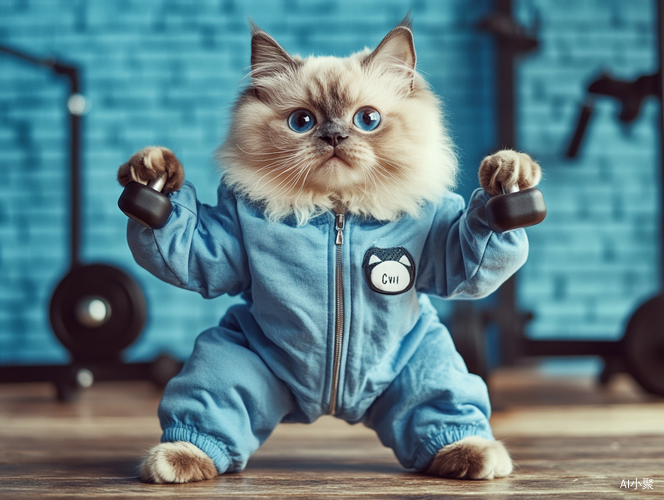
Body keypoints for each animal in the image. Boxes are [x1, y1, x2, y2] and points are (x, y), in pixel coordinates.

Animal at [118, 16, 540, 484]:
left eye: (367, 119)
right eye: (302, 121)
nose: (335, 136)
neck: (338, 213)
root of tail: (331, 407)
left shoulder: (444, 248)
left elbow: (471, 255)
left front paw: (508, 178)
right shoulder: (219, 241)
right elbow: (186, 250)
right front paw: (153, 175)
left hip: (427, 371)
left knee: (443, 415)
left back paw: (471, 454)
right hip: (232, 364)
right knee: (208, 418)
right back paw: (179, 458)